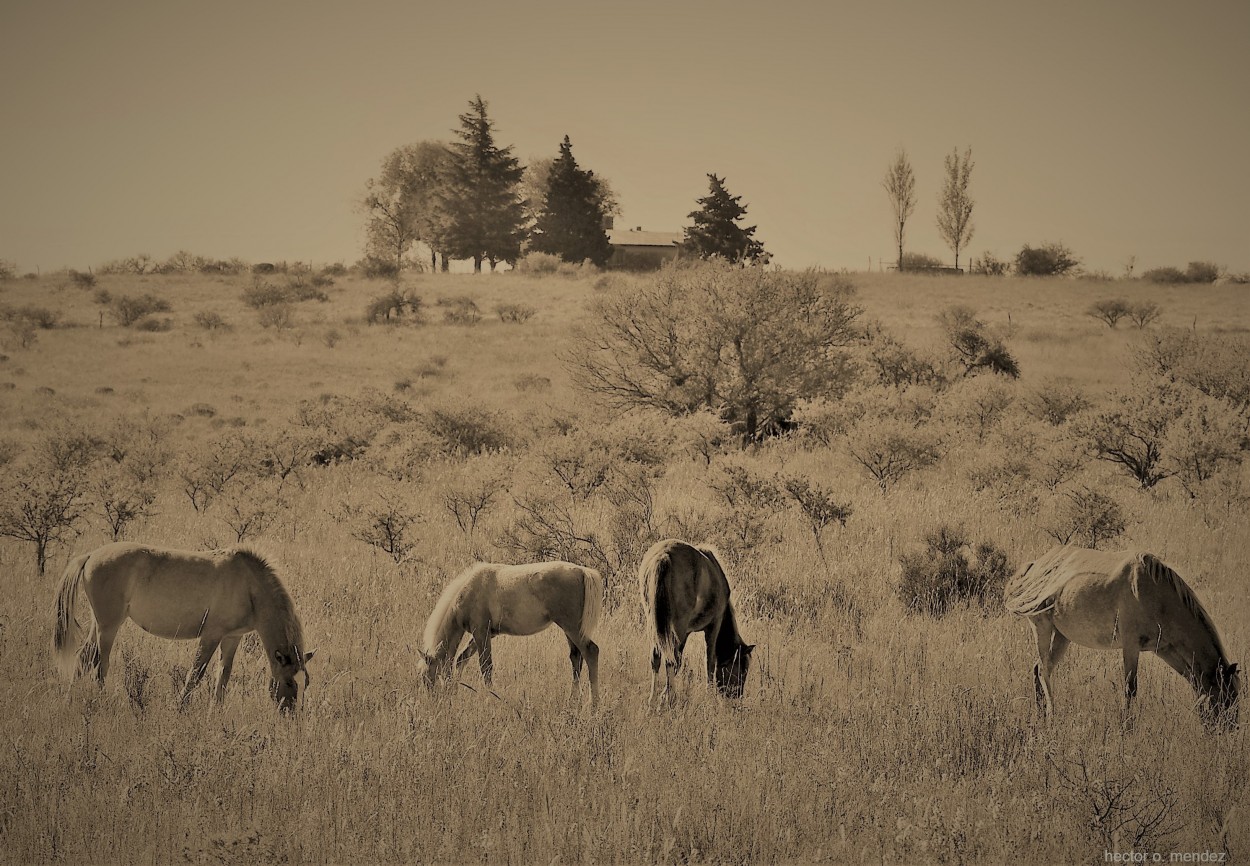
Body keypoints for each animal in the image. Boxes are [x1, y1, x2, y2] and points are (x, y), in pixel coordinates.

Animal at [55, 539, 312, 709]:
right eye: (289, 681)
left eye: (305, 683)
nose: (291, 716)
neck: (249, 586)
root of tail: (90, 556)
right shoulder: (211, 635)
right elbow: (195, 674)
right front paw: (181, 708)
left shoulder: (231, 637)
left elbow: (223, 676)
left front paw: (215, 713)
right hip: (108, 627)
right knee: (100, 665)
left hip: (98, 625)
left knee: (83, 659)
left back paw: (68, 700)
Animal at [415, 559, 605, 704]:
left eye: (427, 677)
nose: (433, 700)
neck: (468, 591)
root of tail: (582, 571)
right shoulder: (485, 634)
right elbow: (462, 659)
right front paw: (455, 688)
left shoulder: (481, 633)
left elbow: (486, 666)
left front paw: (491, 696)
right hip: (569, 630)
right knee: (576, 658)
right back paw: (573, 700)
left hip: (572, 628)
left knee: (591, 651)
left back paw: (593, 704)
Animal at [635, 539, 750, 704]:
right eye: (743, 669)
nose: (737, 696)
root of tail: (664, 555)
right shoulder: (713, 625)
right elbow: (709, 661)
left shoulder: (686, 633)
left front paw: (663, 693)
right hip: (678, 626)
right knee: (670, 660)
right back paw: (669, 699)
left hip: (654, 624)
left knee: (657, 657)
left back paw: (653, 700)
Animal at [1005, 547, 1240, 724]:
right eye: (1225, 698)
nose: (1230, 730)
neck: (1156, 594)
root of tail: (1035, 566)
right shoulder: (1131, 646)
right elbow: (1130, 689)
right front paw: (1127, 727)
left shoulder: (1165, 649)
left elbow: (1191, 678)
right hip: (1042, 628)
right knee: (1044, 670)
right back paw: (1052, 715)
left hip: (1062, 637)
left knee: (1038, 668)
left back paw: (1040, 714)